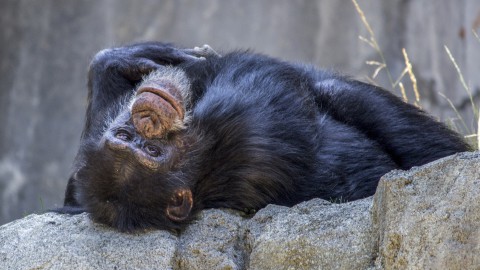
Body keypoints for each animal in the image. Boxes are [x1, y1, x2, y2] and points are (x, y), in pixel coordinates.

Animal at [55, 42, 468, 232]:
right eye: (154, 153)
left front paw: (124, 60)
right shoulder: (242, 129)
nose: (145, 118)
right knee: (341, 93)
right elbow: (263, 79)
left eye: (130, 137)